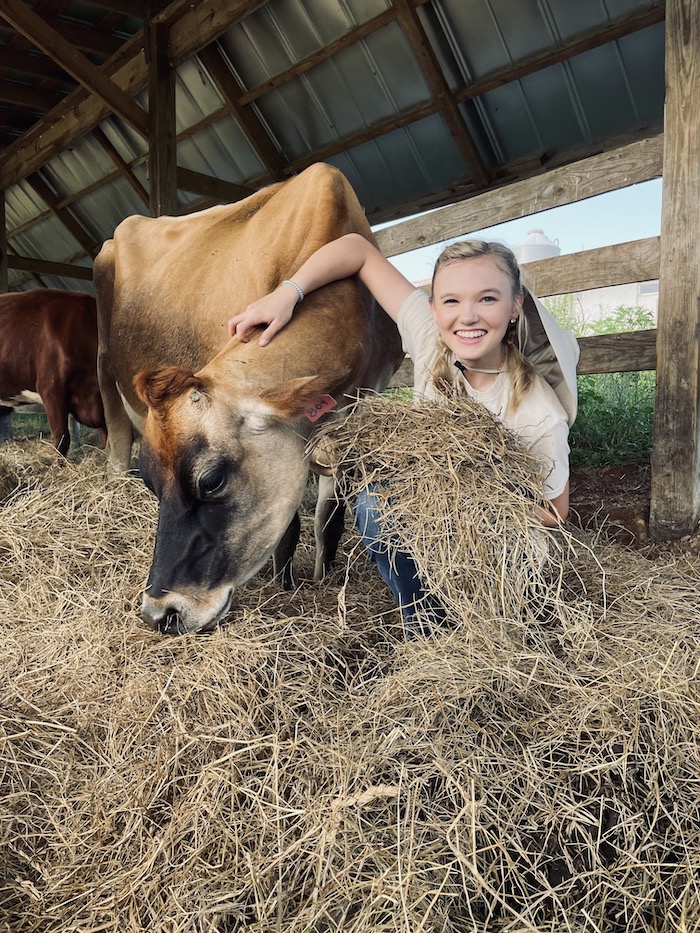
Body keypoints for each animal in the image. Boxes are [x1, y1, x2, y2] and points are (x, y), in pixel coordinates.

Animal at [95, 164, 408, 636]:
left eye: (210, 480)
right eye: (149, 482)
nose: (158, 613)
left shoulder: (357, 404)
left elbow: (329, 517)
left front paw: (323, 578)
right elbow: (289, 528)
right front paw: (284, 588)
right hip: (104, 372)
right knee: (114, 455)